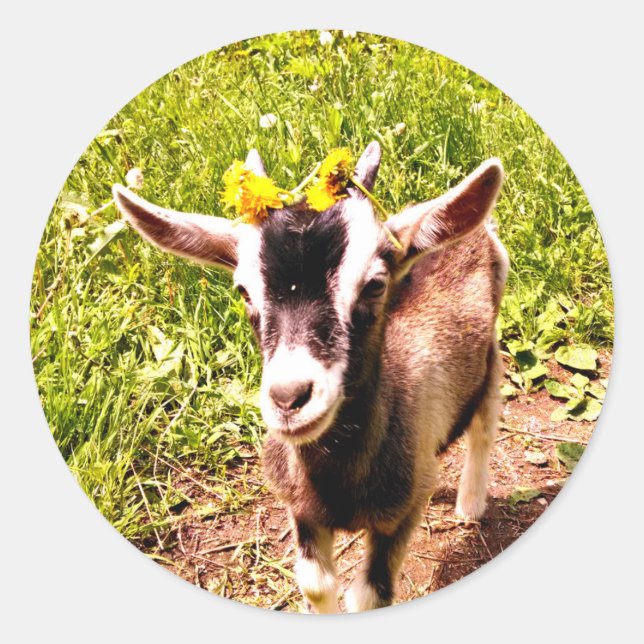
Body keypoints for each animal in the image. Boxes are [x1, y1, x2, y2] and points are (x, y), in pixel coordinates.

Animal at [112, 142, 508, 612]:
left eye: (375, 285)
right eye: (243, 291)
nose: (289, 398)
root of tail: (481, 233)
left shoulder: (404, 507)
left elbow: (368, 596)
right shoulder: (301, 509)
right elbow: (316, 584)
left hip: (490, 356)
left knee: (484, 424)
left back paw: (470, 505)